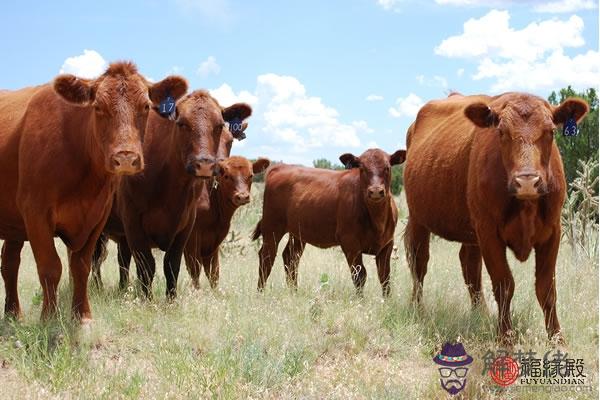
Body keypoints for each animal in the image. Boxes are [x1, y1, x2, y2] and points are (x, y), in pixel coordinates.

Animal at [0, 62, 188, 322]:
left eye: (146, 106)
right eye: (98, 107)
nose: (126, 158)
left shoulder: (97, 217)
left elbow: (81, 266)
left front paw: (82, 317)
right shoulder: (35, 212)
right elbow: (50, 266)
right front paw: (49, 317)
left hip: (14, 225)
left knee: (9, 261)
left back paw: (12, 314)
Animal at [90, 90, 252, 296]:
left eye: (219, 127)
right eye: (182, 123)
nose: (206, 164)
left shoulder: (186, 226)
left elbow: (172, 266)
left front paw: (171, 299)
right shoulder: (134, 222)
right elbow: (147, 267)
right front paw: (147, 300)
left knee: (122, 260)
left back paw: (122, 289)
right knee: (95, 258)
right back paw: (97, 287)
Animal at [182, 155, 268, 290]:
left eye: (251, 175)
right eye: (227, 176)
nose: (242, 196)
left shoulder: (213, 243)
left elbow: (214, 272)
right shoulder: (192, 240)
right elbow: (195, 270)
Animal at [251, 148, 406, 296]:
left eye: (387, 167)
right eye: (361, 168)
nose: (375, 191)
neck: (377, 219)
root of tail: (281, 167)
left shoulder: (387, 244)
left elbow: (385, 277)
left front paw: (386, 301)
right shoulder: (350, 243)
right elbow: (359, 276)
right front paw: (360, 301)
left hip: (298, 233)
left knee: (290, 258)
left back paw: (294, 292)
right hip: (272, 227)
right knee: (267, 257)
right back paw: (260, 293)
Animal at [404, 91, 592, 344]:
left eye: (551, 131)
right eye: (501, 132)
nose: (527, 181)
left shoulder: (552, 232)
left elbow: (546, 288)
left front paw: (557, 339)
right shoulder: (489, 232)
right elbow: (504, 285)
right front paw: (506, 337)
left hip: (470, 230)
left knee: (469, 265)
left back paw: (480, 313)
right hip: (418, 219)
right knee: (419, 262)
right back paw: (418, 310)